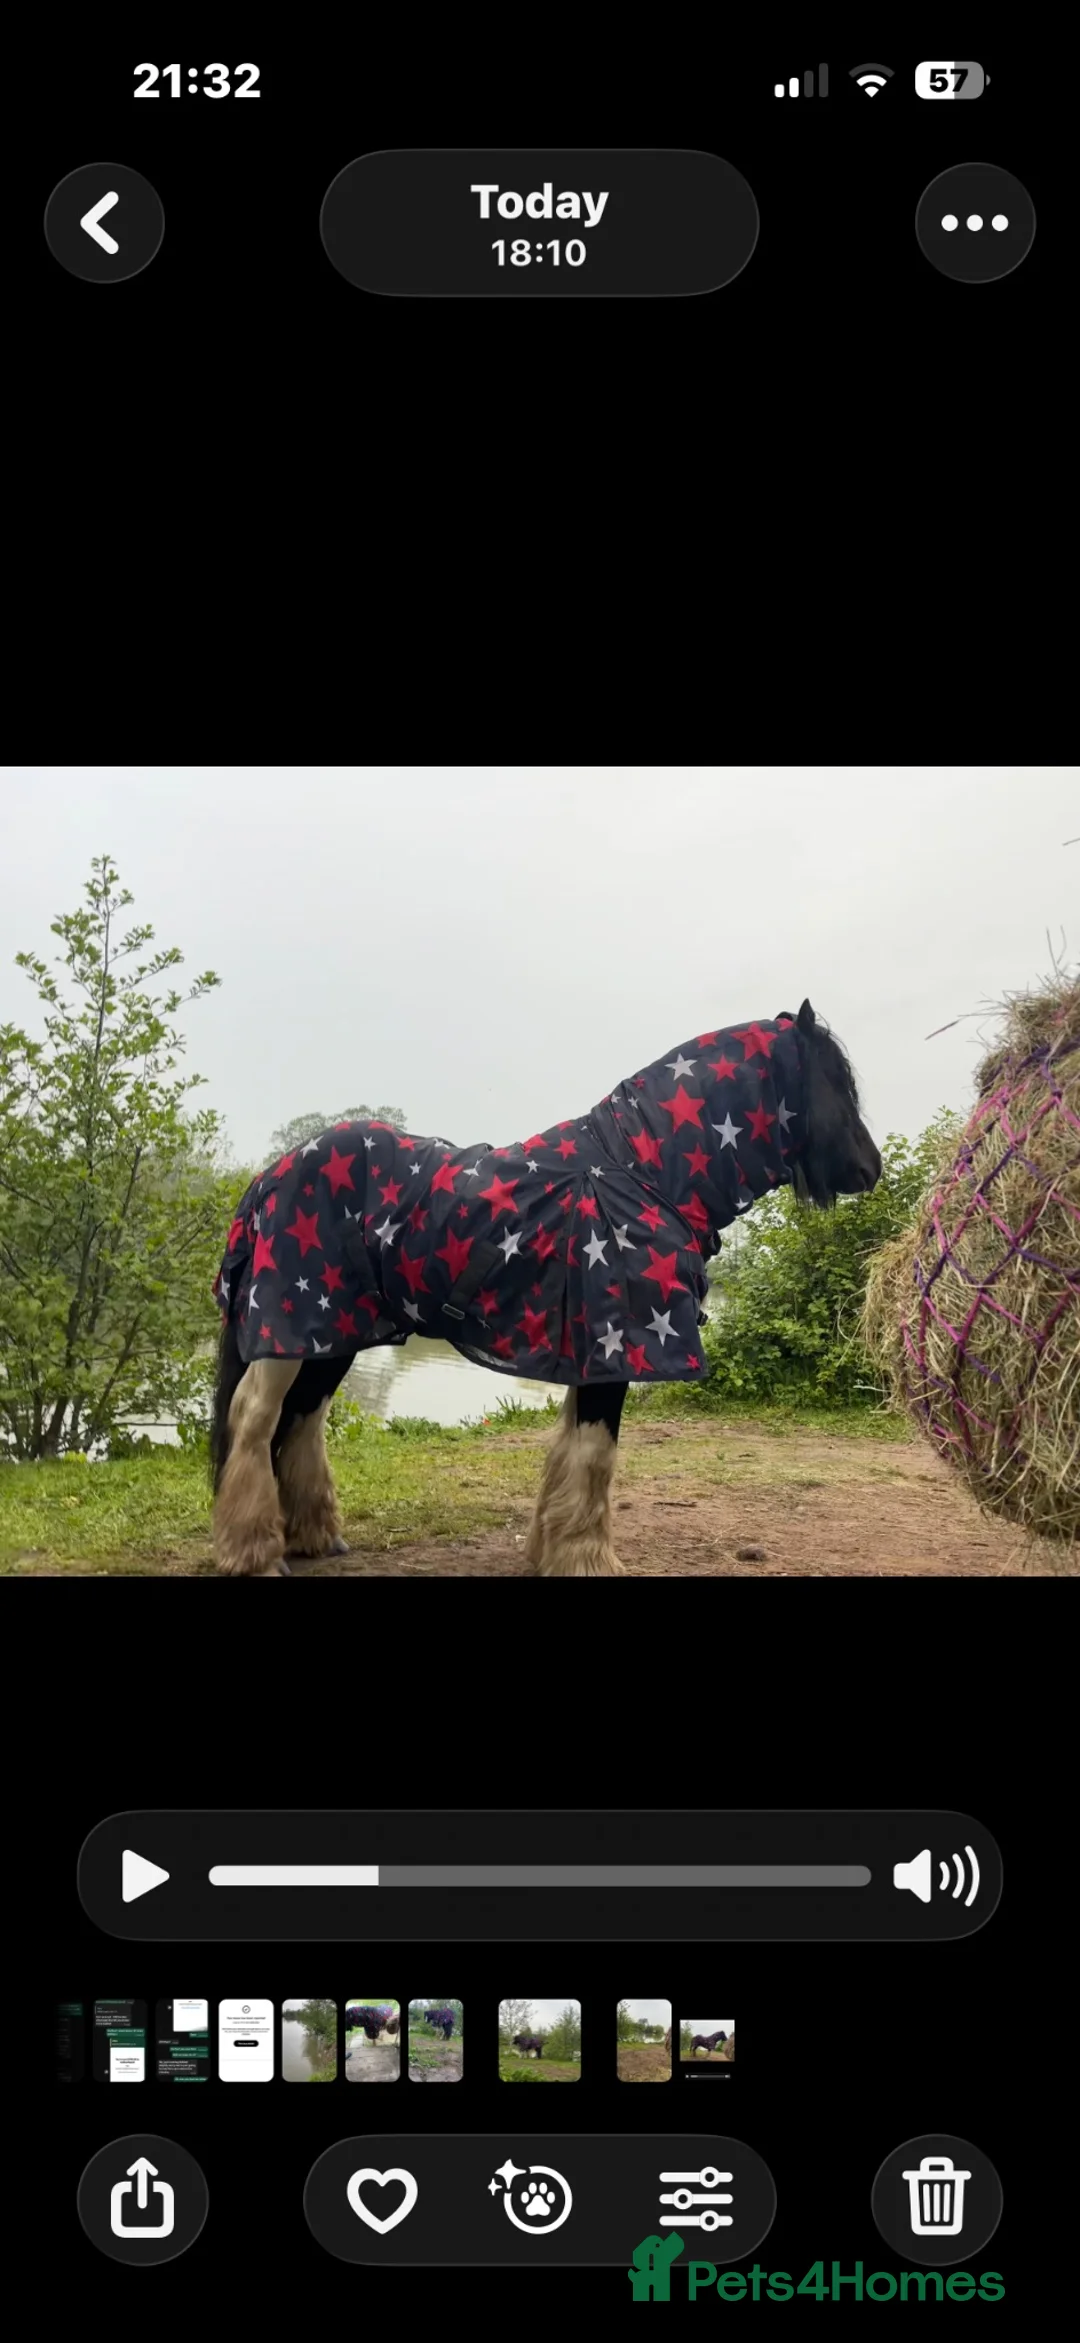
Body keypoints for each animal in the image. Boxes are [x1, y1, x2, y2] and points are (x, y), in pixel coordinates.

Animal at [209, 999, 880, 1576]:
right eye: (835, 1082)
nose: (869, 1169)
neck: (639, 1171)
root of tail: (270, 1176)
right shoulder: (615, 1354)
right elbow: (596, 1455)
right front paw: (588, 1560)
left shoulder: (591, 1354)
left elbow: (568, 1452)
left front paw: (550, 1551)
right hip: (289, 1325)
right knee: (254, 1417)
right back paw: (254, 1553)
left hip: (329, 1333)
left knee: (299, 1419)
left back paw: (313, 1537)